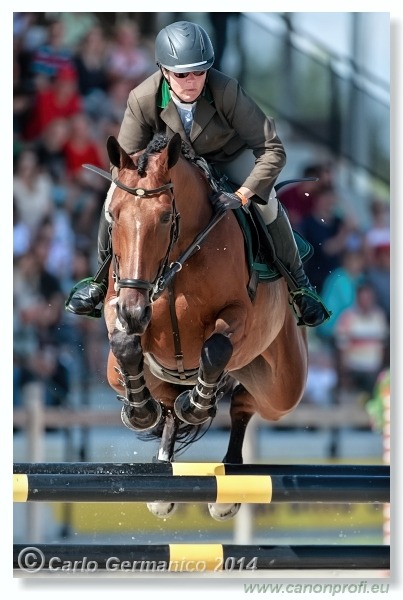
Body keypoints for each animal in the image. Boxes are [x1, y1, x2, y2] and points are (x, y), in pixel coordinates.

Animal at [96, 132, 308, 520]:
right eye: (113, 215)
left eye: (166, 217)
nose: (134, 312)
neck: (176, 262)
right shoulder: (117, 304)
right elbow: (125, 344)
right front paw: (140, 411)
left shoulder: (238, 314)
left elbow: (215, 348)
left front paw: (196, 405)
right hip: (119, 373)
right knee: (165, 404)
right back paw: (162, 475)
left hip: (282, 386)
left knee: (244, 402)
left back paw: (227, 489)